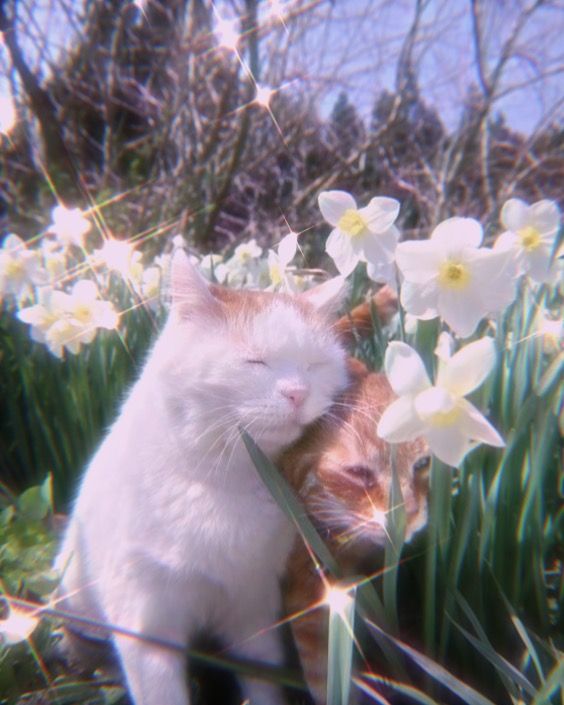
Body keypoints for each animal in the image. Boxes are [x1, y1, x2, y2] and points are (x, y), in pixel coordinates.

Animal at [56, 250, 348, 700]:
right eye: (255, 361)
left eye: (313, 365)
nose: (298, 393)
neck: (224, 482)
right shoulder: (148, 631)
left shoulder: (253, 614)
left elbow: (263, 687)